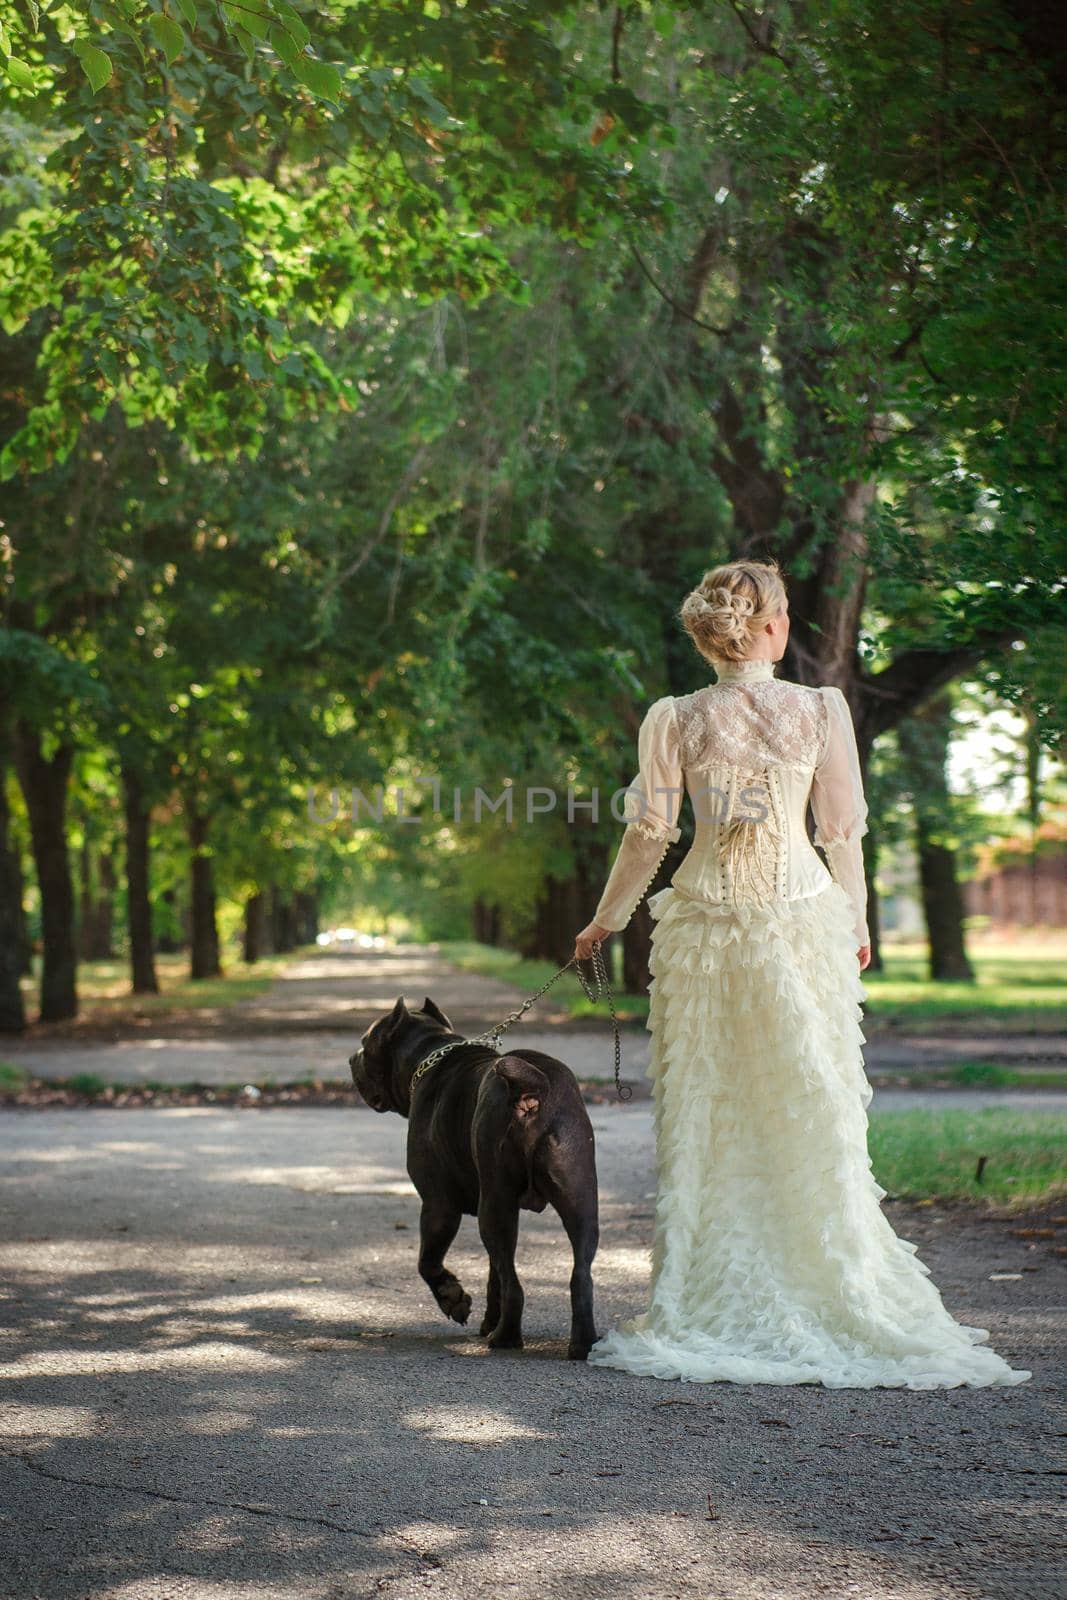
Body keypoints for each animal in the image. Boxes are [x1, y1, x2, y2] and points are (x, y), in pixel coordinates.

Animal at [350, 992, 601, 1356]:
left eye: (365, 1043)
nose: (351, 1058)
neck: (431, 1050)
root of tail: (533, 1091)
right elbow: (493, 1272)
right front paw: (486, 1319)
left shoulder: (438, 1205)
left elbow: (428, 1261)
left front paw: (453, 1299)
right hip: (577, 1199)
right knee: (576, 1275)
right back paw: (582, 1344)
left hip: (494, 1204)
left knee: (513, 1285)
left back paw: (505, 1338)